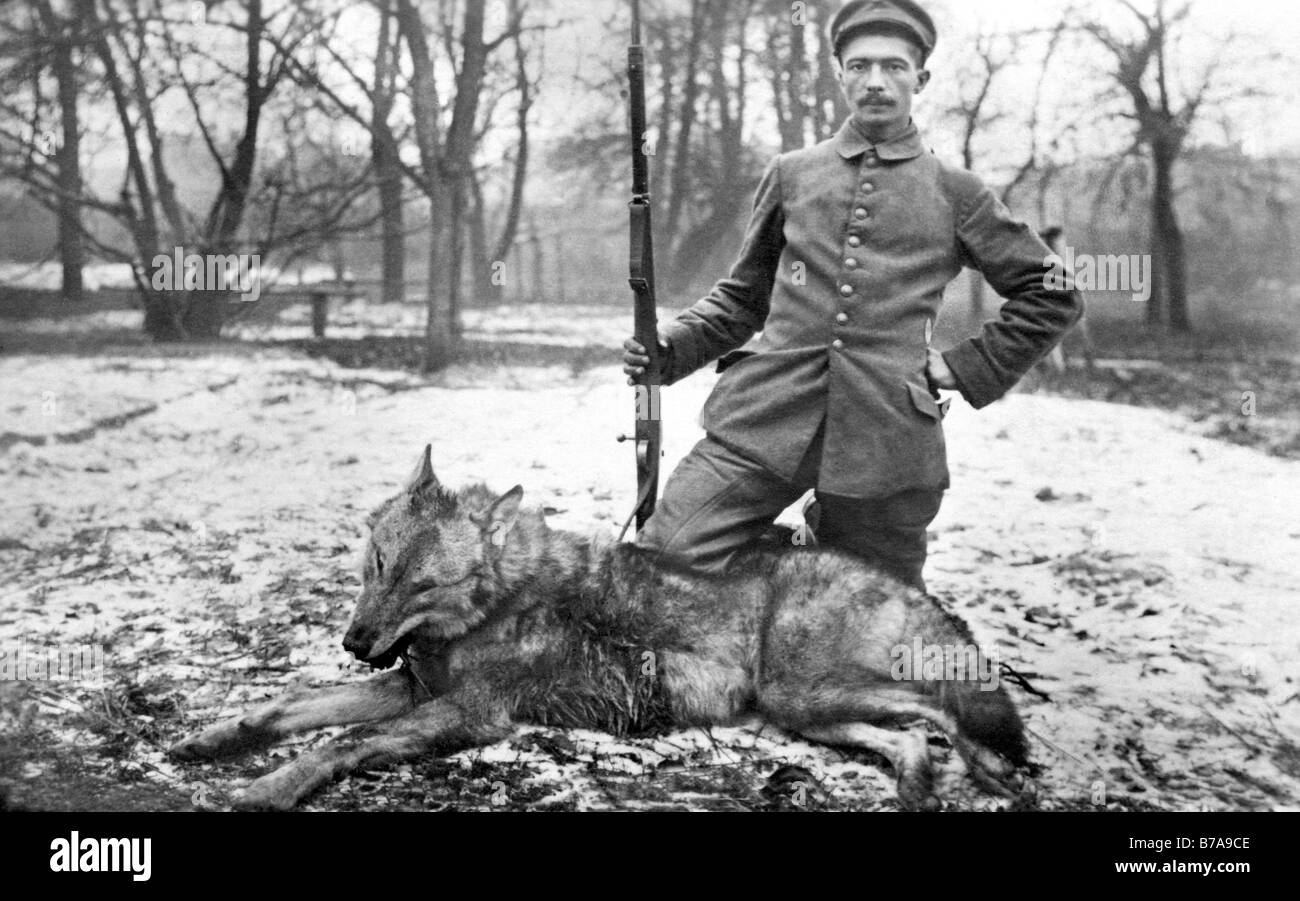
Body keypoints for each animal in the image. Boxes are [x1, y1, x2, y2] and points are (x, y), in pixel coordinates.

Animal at [170, 444, 1024, 806]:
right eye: (378, 563)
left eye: (423, 582)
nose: (355, 642)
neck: (494, 604)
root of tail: (890, 578)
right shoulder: (410, 688)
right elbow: (286, 706)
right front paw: (211, 741)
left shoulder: (469, 712)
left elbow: (338, 741)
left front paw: (263, 788)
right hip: (799, 713)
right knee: (912, 737)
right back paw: (920, 785)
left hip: (805, 695)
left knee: (945, 708)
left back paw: (990, 765)